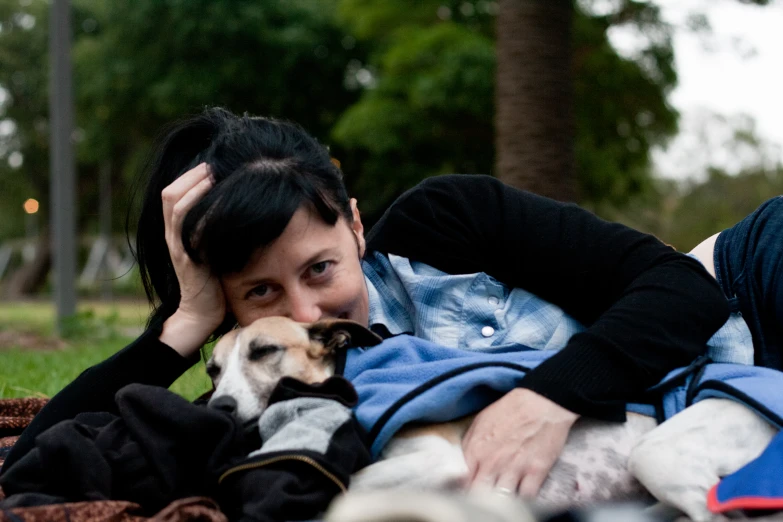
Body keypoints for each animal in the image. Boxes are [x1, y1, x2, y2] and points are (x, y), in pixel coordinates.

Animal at [205, 314, 780, 516]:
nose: (218, 408)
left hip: (659, 455)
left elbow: (350, 489)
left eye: (264, 351)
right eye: (211, 368)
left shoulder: (439, 461)